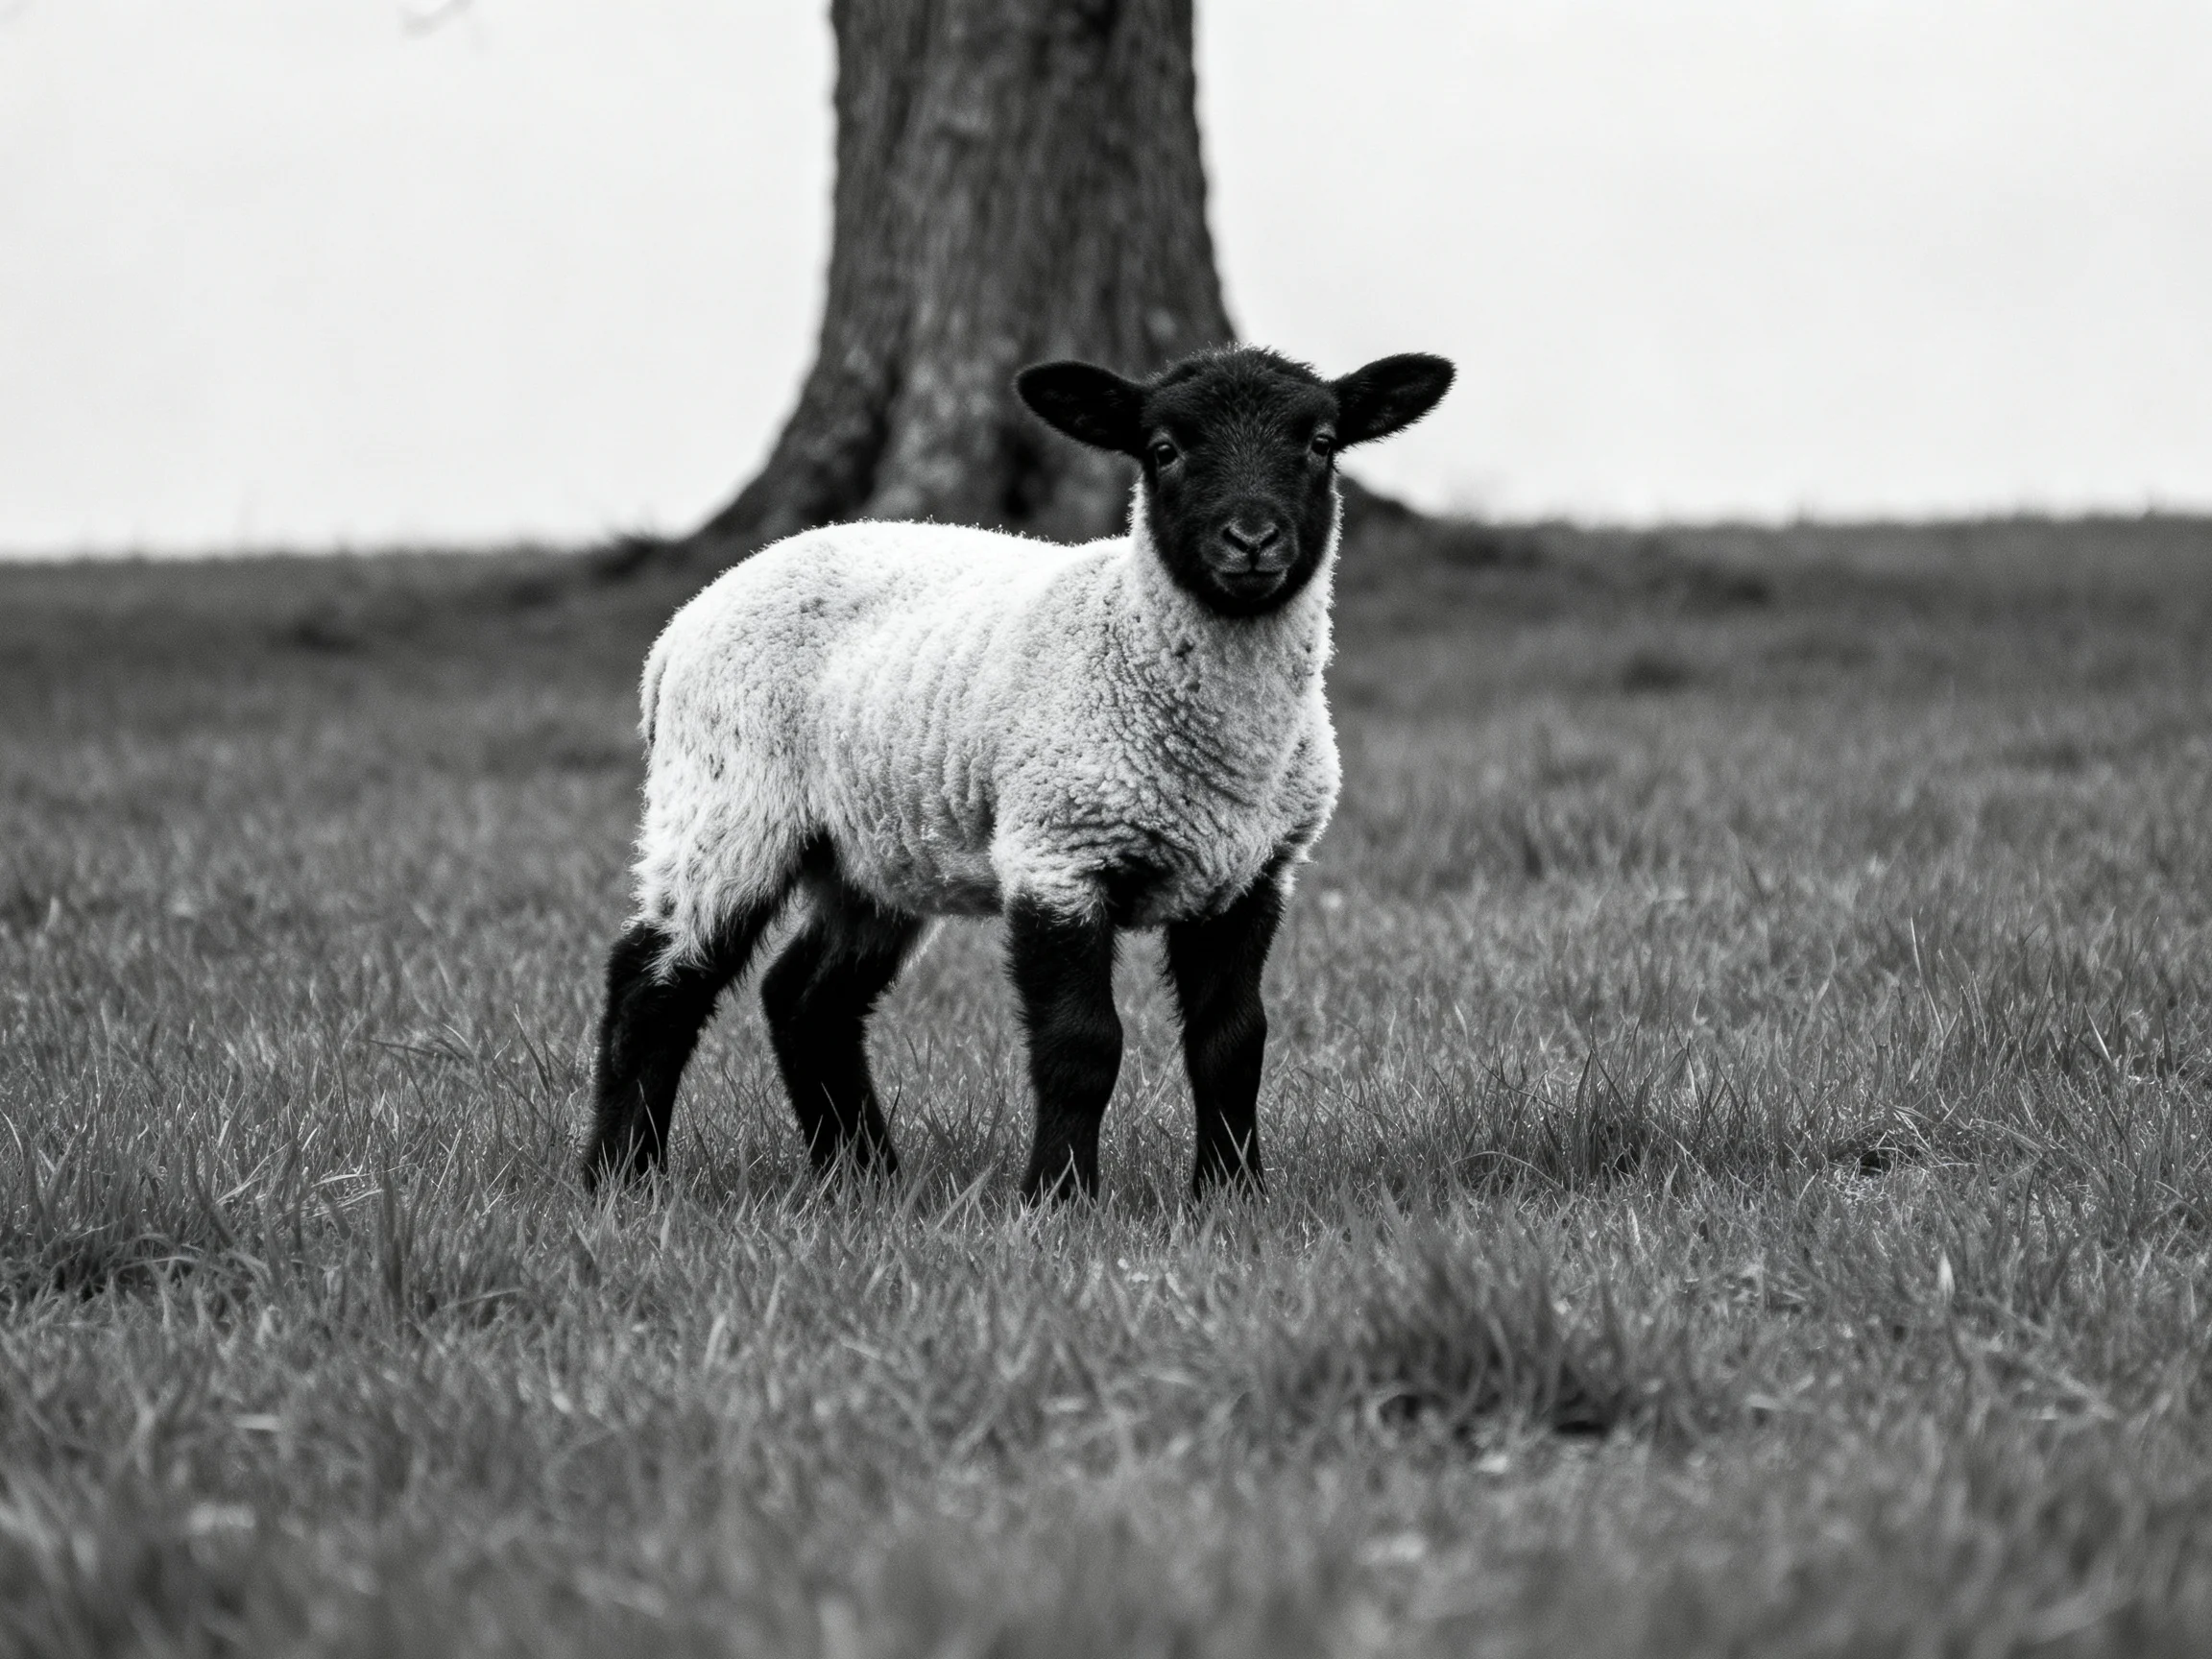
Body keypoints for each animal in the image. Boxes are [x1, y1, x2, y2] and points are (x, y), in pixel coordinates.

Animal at [584, 344, 1454, 1201]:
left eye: (1322, 444)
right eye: (1163, 450)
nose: (1251, 540)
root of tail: (680, 629)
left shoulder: (1250, 876)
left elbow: (1233, 1045)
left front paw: (1233, 1195)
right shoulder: (1056, 852)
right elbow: (1082, 1045)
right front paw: (1059, 1197)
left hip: (871, 847)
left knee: (806, 1000)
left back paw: (865, 1179)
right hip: (728, 798)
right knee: (654, 983)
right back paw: (622, 1178)